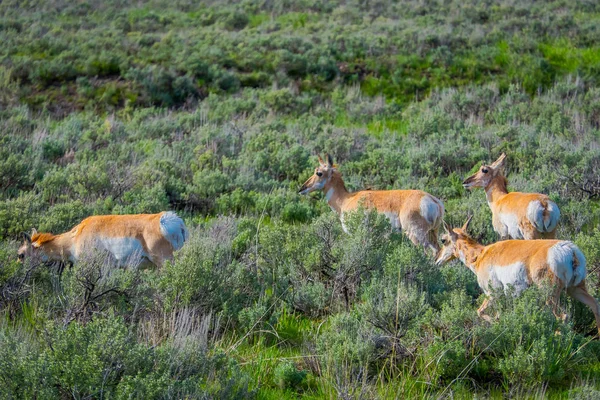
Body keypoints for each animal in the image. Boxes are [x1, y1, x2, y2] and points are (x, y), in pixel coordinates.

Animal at [300, 155, 446, 255]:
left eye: (319, 173)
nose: (302, 188)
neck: (346, 199)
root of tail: (433, 201)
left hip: (415, 236)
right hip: (432, 234)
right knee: (438, 252)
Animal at [436, 216, 600, 334]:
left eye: (443, 240)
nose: (437, 260)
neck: (481, 255)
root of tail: (570, 250)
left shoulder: (492, 293)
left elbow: (480, 311)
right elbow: (497, 313)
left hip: (550, 294)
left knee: (563, 316)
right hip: (575, 288)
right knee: (594, 304)